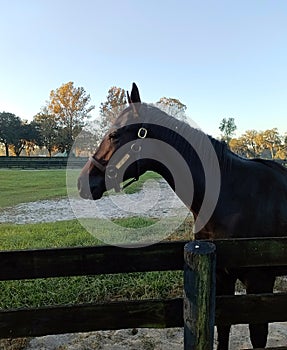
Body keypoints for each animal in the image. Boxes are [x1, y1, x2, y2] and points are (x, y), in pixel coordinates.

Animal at [78, 82, 287, 350]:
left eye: (115, 135)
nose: (83, 182)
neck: (234, 195)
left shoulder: (260, 283)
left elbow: (257, 335)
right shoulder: (223, 277)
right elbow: (224, 329)